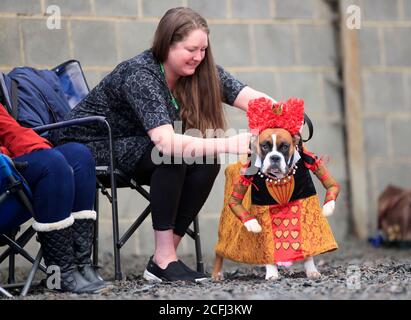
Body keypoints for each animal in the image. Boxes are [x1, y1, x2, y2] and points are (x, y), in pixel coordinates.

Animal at [211, 97, 340, 280]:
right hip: (225, 228)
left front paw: (311, 270)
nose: (274, 157)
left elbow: (332, 185)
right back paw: (216, 274)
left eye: (284, 146)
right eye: (264, 146)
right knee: (219, 251)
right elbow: (236, 203)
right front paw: (272, 272)